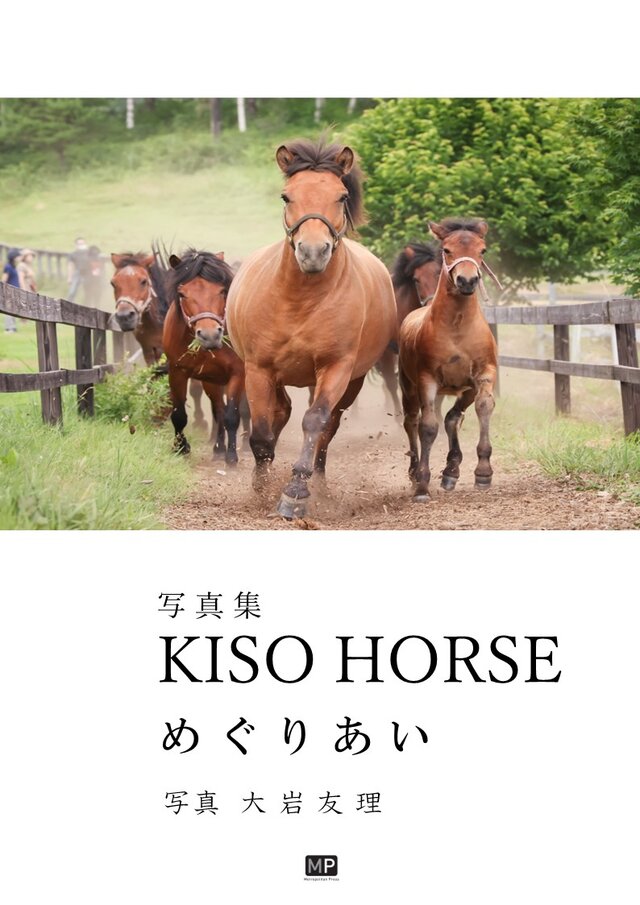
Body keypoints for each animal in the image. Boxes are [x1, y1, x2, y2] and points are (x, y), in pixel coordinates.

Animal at [163, 249, 245, 464]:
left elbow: (233, 415)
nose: (210, 335)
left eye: (222, 291)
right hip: (212, 382)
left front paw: (231, 456)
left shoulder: (238, 373)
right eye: (182, 294)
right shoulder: (177, 372)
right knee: (218, 410)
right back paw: (218, 449)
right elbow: (179, 414)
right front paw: (181, 447)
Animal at [226, 138, 397, 519]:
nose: (314, 252)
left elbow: (315, 422)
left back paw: (317, 482)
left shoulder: (336, 368)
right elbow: (261, 431)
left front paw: (295, 492)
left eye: (341, 196)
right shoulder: (258, 369)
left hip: (350, 383)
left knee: (326, 428)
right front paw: (261, 486)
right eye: (286, 196)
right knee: (281, 412)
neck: (300, 301)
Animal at [398, 218, 500, 502]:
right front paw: (422, 485)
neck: (457, 328)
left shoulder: (483, 375)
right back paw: (414, 472)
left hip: (463, 389)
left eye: (482, 250)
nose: (467, 280)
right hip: (408, 387)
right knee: (412, 422)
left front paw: (483, 473)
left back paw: (451, 470)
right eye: (446, 249)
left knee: (452, 418)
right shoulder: (427, 380)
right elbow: (427, 428)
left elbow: (483, 407)